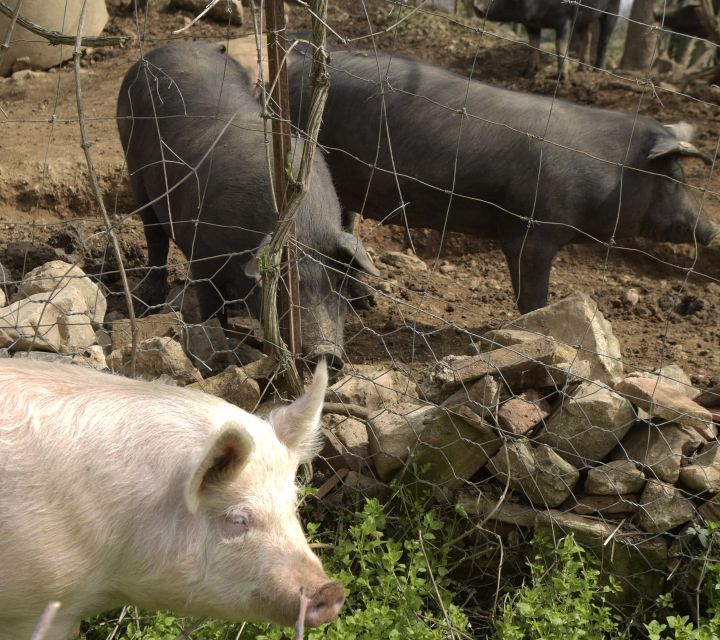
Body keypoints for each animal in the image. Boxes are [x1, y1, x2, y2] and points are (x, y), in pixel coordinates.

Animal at [117, 41, 378, 370]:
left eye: (337, 282)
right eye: (284, 290)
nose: (325, 353)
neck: (302, 227)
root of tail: (168, 47)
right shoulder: (201, 250)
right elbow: (211, 305)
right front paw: (224, 349)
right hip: (134, 168)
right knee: (154, 236)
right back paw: (149, 305)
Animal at [473, 0, 621, 76]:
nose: (475, 6)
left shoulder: (565, 21)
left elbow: (560, 45)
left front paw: (561, 77)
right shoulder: (532, 25)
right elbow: (533, 44)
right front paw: (528, 72)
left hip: (613, 8)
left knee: (604, 37)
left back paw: (597, 71)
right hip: (584, 20)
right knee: (586, 38)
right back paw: (581, 70)